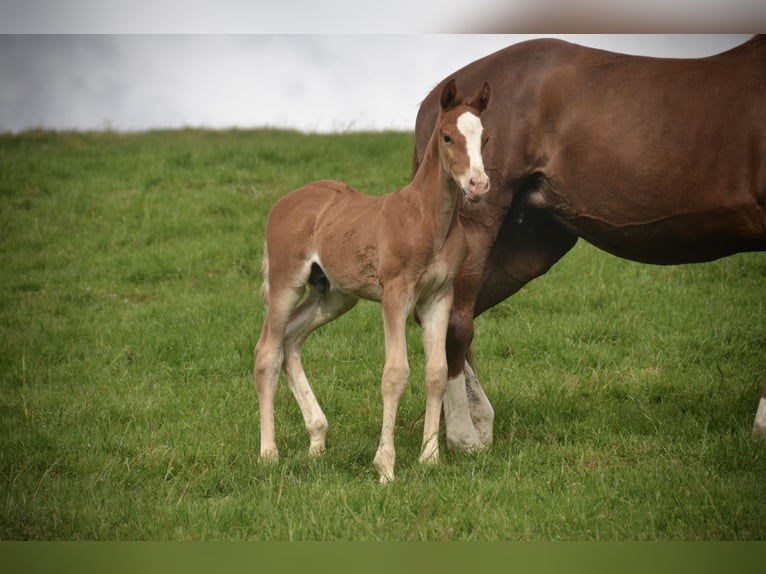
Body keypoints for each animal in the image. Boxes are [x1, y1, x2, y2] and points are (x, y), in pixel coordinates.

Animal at [254, 79, 492, 484]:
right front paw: (385, 467)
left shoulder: (438, 297)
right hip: (287, 284)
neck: (429, 219)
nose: (478, 184)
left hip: (333, 295)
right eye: (447, 136)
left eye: (485, 138)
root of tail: (282, 204)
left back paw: (317, 439)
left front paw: (429, 458)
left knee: (290, 342)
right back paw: (269, 453)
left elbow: (436, 372)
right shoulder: (396, 295)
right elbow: (395, 373)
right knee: (267, 352)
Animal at [414, 36, 766, 450]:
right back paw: (463, 436)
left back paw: (477, 423)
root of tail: (434, 101)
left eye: (484, 139)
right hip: (479, 229)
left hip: (526, 248)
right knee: (455, 322)